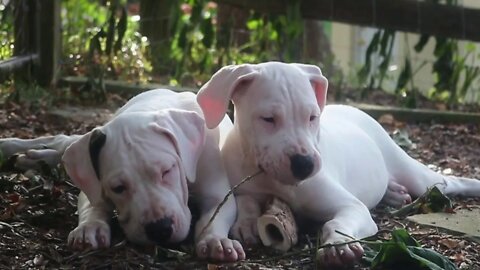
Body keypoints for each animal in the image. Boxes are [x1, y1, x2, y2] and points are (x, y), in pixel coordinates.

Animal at [0, 88, 246, 262]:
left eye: (167, 171)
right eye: (118, 188)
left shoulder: (217, 194)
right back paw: (16, 148)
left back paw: (33, 157)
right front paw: (90, 227)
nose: (160, 228)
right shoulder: (91, 179)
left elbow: (214, 215)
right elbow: (93, 204)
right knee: (61, 141)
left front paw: (216, 240)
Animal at [195, 61, 480, 268]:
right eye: (268, 119)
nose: (305, 165)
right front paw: (245, 224)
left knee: (449, 181)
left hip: (415, 174)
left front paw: (339, 245)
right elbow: (246, 203)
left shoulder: (352, 207)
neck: (271, 178)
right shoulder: (243, 187)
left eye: (312, 117)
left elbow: (336, 222)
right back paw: (394, 194)